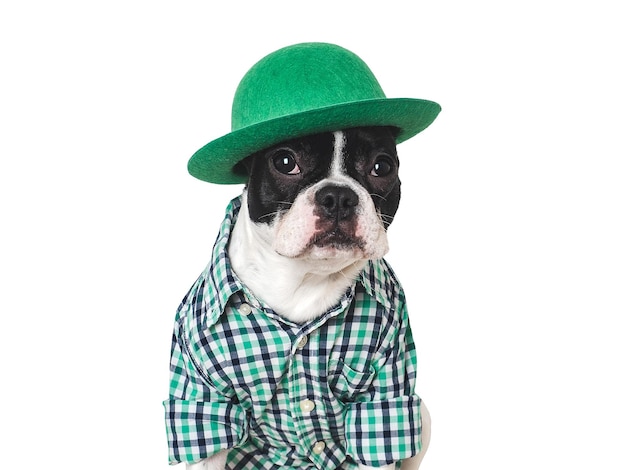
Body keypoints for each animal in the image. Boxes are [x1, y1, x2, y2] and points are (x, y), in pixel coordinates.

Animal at [168, 126, 426, 470]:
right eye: (285, 162)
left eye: (382, 167)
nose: (338, 197)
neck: (302, 279)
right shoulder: (203, 402)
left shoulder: (384, 396)